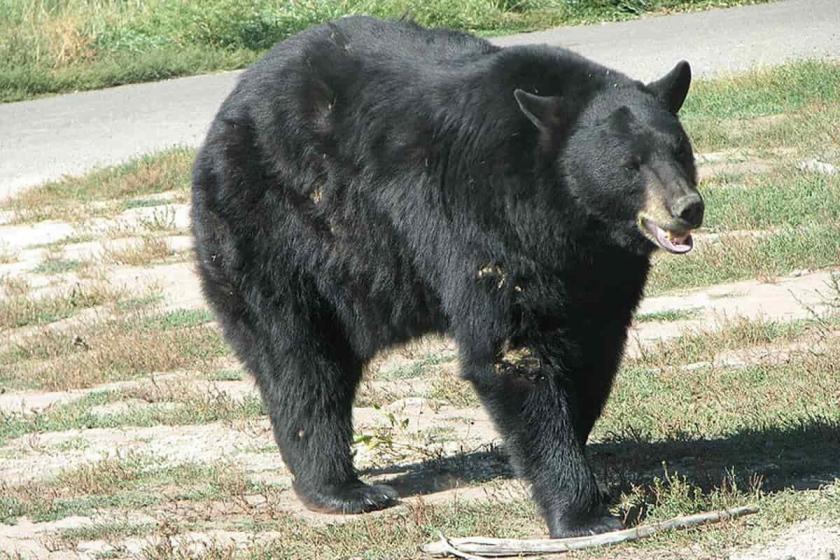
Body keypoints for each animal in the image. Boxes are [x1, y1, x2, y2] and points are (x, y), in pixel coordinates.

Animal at [190, 15, 704, 536]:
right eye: (630, 165)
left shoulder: (600, 268)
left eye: (680, 149)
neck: (564, 214)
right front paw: (582, 512)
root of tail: (228, 108)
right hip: (275, 230)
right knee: (300, 359)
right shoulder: (485, 220)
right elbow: (513, 351)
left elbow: (594, 348)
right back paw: (342, 489)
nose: (688, 207)